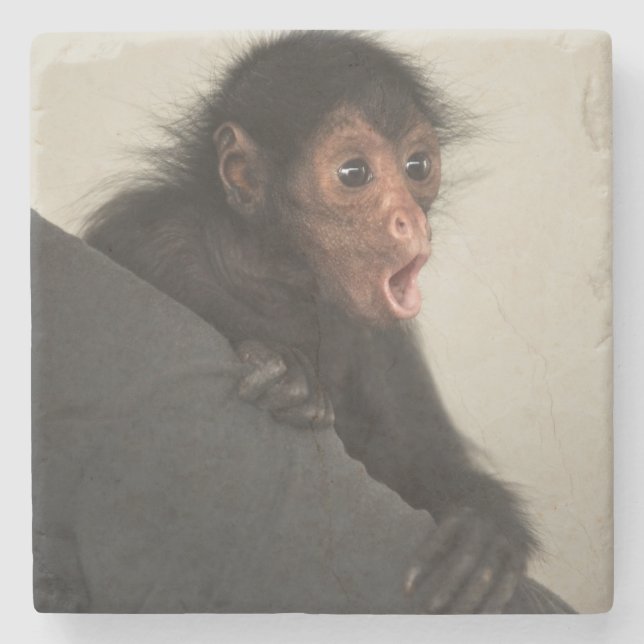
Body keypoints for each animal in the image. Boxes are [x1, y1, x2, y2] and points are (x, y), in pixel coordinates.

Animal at [83, 31, 573, 613]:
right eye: (354, 174)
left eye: (417, 167)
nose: (409, 218)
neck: (279, 281)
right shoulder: (155, 231)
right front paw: (281, 363)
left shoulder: (383, 345)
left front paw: (484, 530)